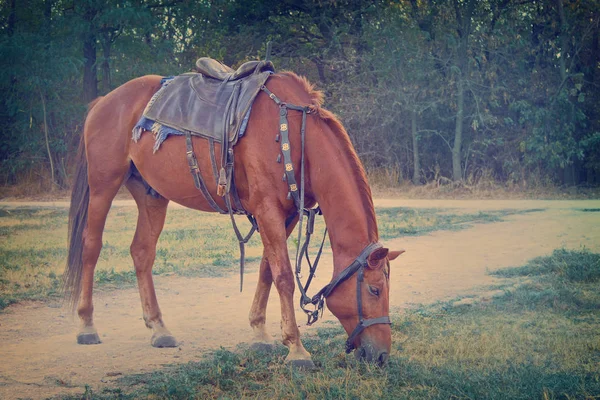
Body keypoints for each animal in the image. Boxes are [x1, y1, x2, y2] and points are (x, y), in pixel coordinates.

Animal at [63, 69, 404, 368]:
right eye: (375, 290)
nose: (381, 356)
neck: (295, 133)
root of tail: (104, 102)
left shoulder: (287, 215)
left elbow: (267, 269)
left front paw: (260, 333)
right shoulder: (267, 209)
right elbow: (283, 276)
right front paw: (296, 349)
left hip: (151, 194)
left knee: (142, 252)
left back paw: (158, 328)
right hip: (103, 185)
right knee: (91, 247)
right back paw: (86, 325)